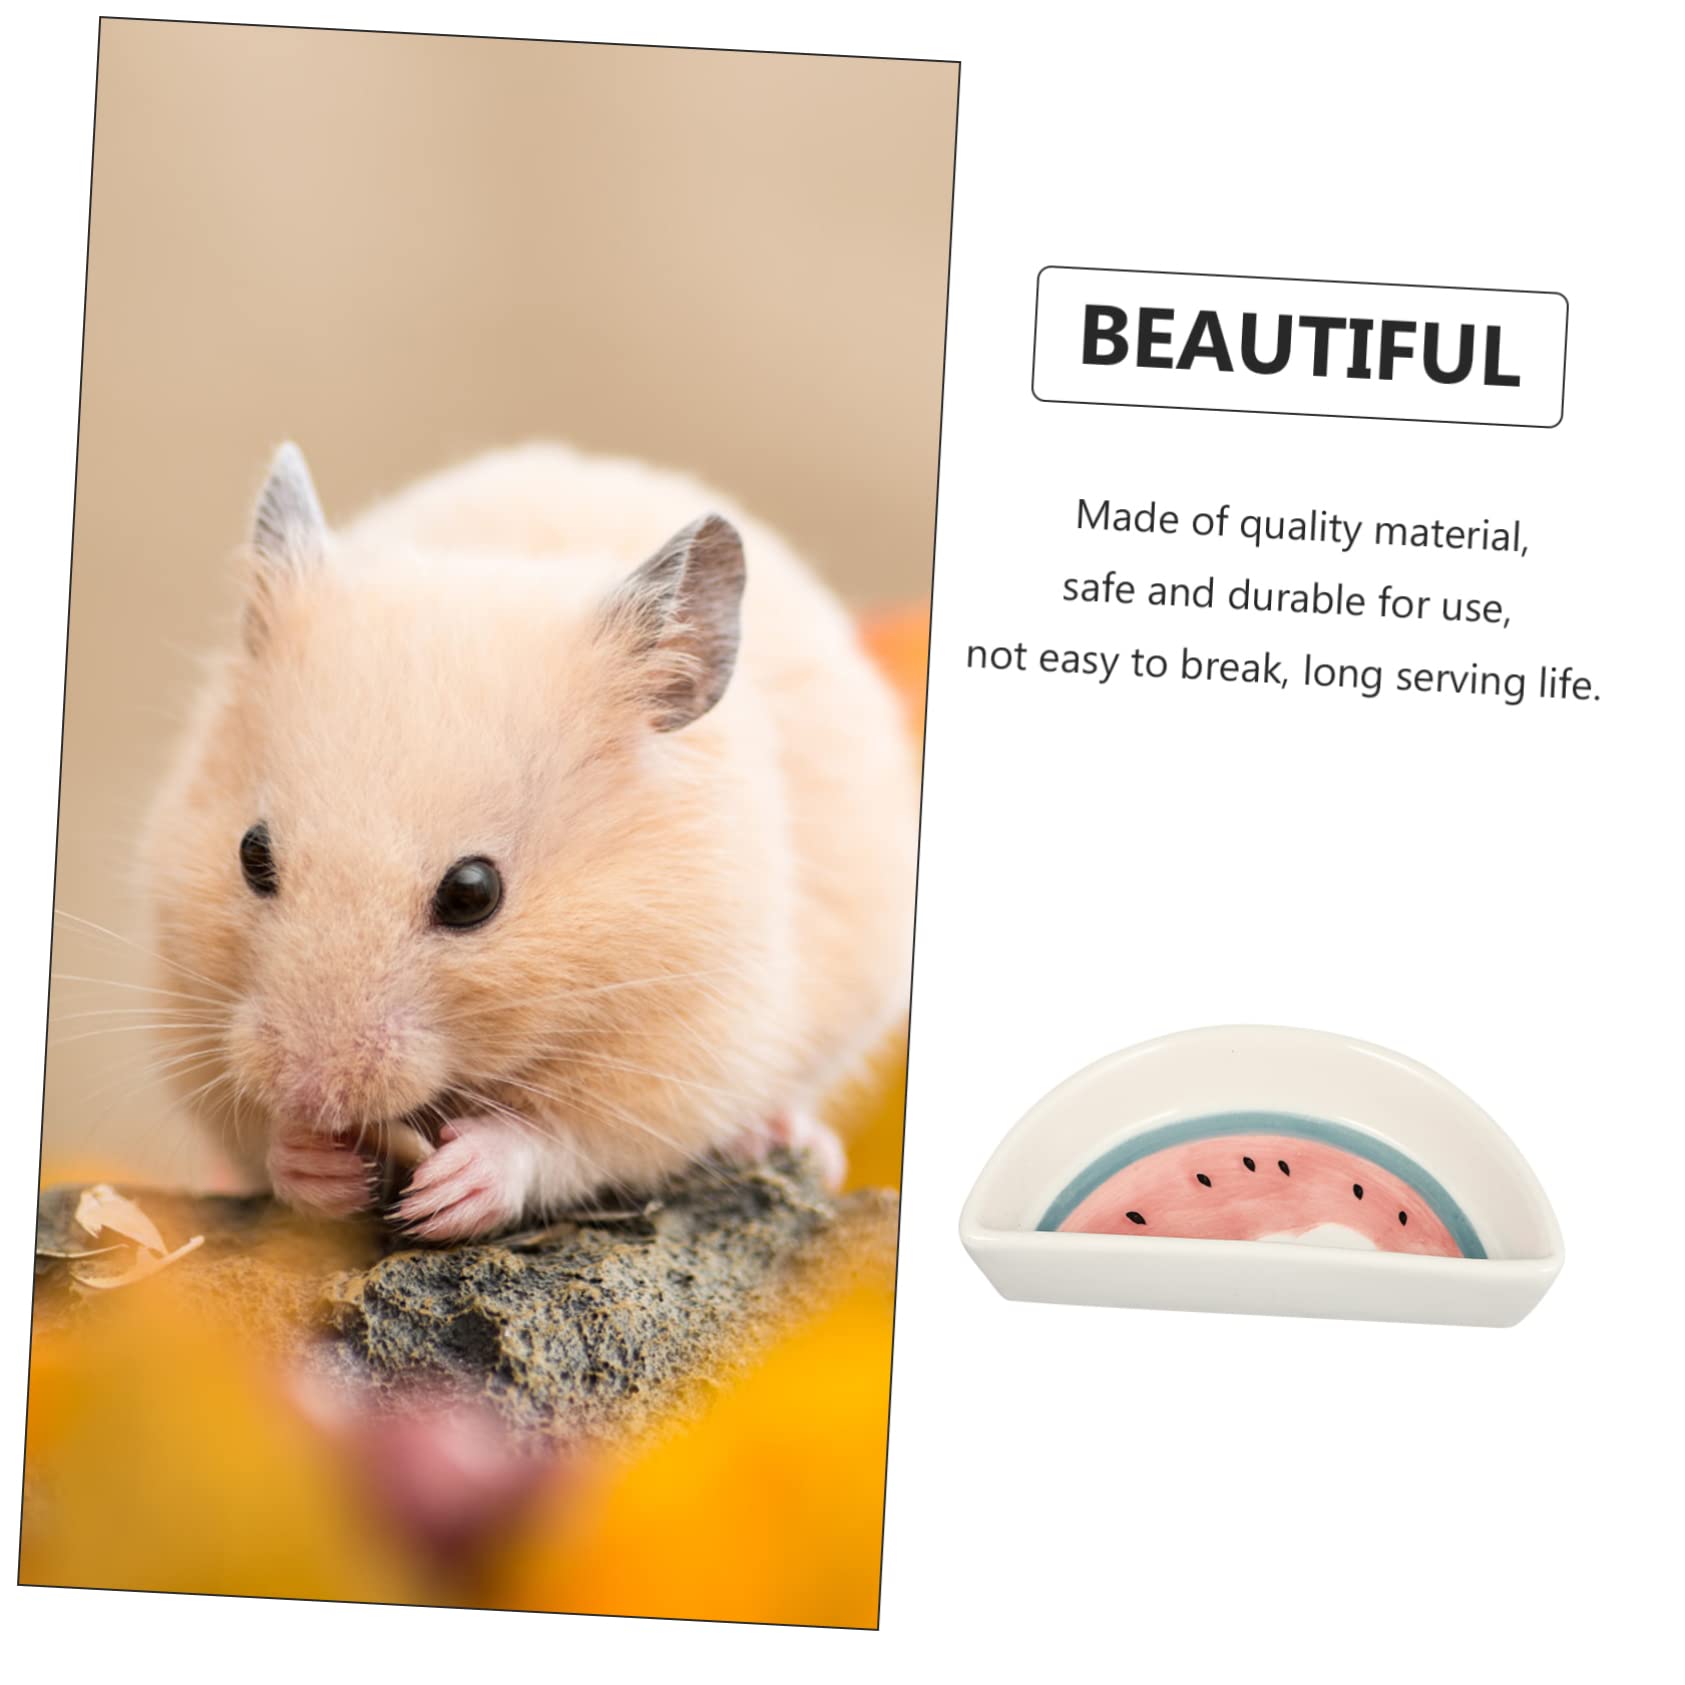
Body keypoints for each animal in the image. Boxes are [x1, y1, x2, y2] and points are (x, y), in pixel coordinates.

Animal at [141, 442, 917, 1239]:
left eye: (472, 893)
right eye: (251, 854)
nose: (312, 1093)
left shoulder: (682, 1056)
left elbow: (561, 1141)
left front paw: (443, 1195)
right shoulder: (183, 1007)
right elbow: (253, 1135)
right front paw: (318, 1162)